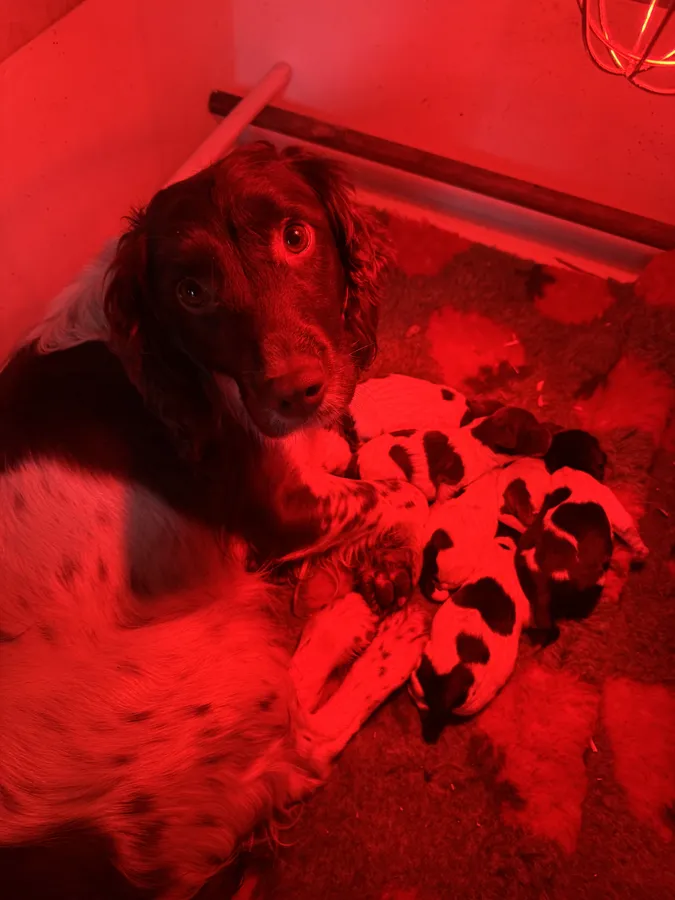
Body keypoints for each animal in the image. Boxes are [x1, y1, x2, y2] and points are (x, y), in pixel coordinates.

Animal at [0, 142, 431, 900]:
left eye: (296, 236)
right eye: (190, 292)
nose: (294, 393)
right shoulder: (284, 512)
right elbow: (404, 491)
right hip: (219, 663)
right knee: (304, 747)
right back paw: (381, 638)